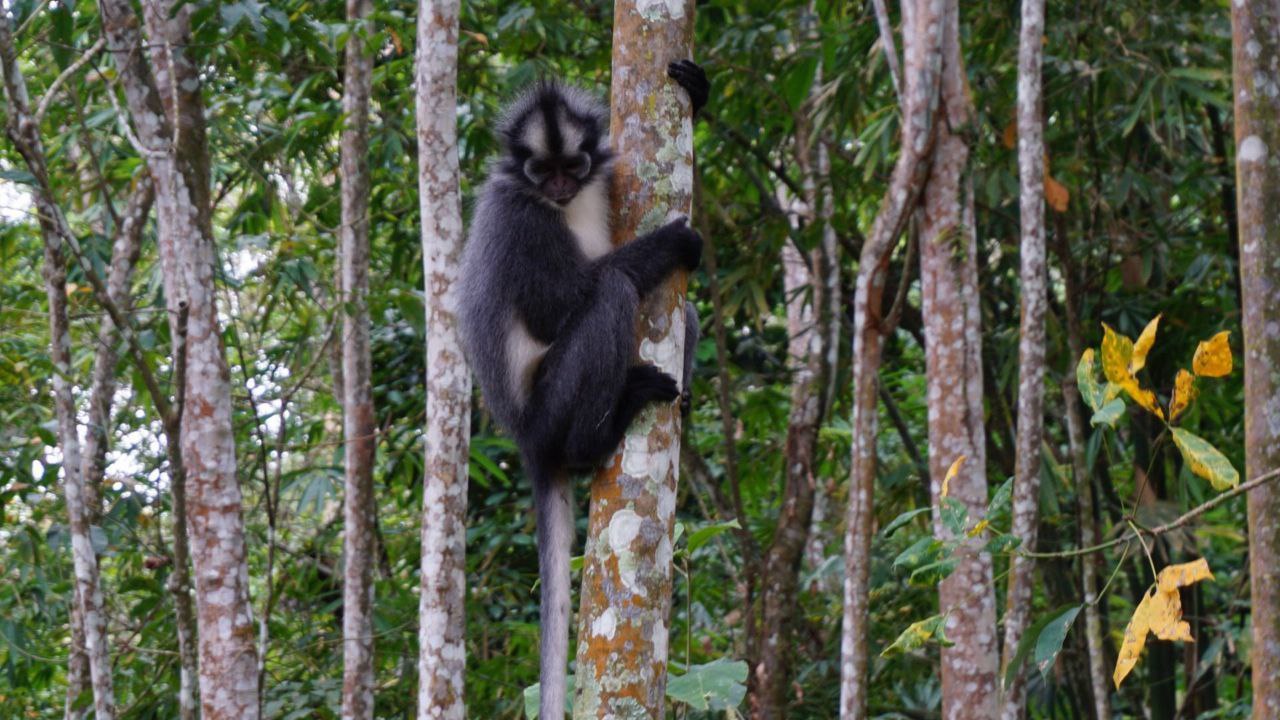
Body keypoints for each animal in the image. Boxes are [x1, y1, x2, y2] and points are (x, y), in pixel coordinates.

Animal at [457, 61, 709, 718]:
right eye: (541, 172)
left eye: (573, 167)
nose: (561, 187)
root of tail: (525, 438)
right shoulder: (518, 215)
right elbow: (557, 310)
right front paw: (674, 244)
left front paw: (698, 94)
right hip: (552, 406)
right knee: (615, 291)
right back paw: (597, 437)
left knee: (684, 311)